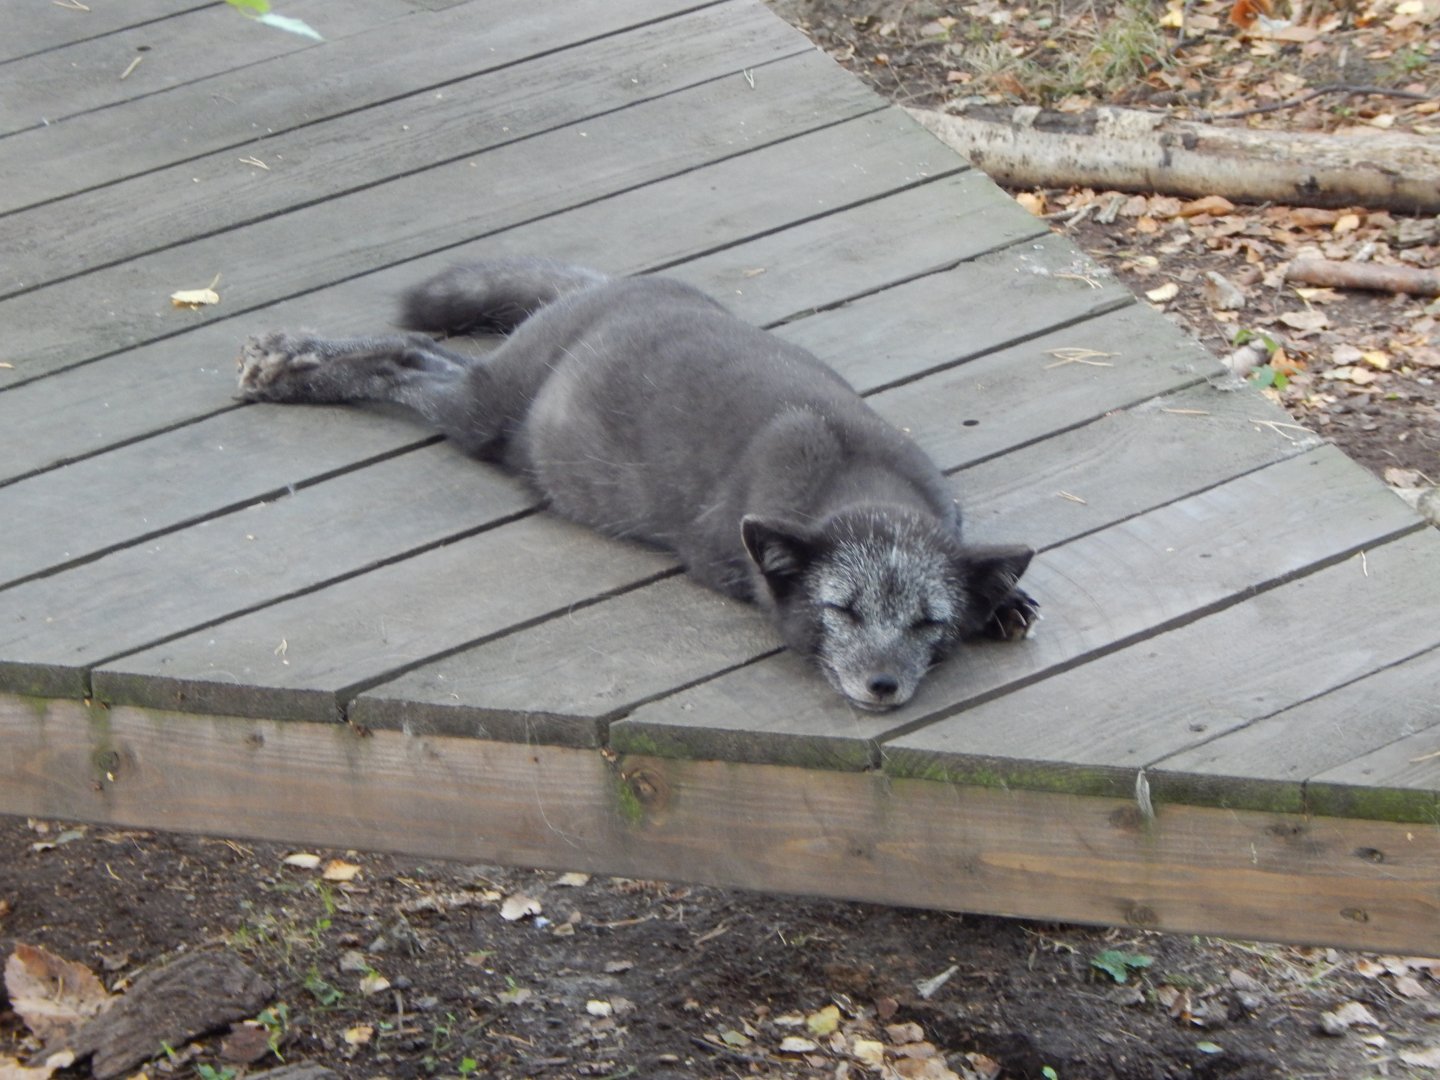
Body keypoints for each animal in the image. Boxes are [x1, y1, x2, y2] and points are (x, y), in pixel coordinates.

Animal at [236, 259, 1037, 711]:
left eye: (927, 623)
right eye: (841, 610)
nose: (883, 687)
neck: (856, 474)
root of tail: (619, 288)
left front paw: (1004, 599)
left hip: (493, 397)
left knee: (428, 351)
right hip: (485, 417)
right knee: (405, 356)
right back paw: (289, 366)